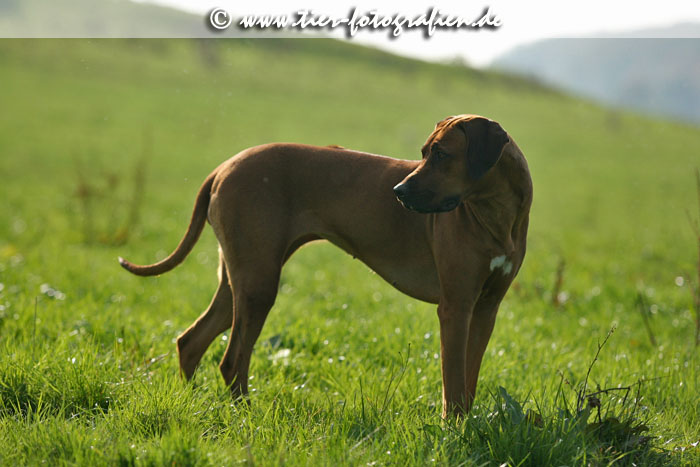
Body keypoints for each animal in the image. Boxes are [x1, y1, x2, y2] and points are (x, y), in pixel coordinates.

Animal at [119, 115, 532, 418]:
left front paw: (467, 425)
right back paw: (247, 416)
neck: (494, 215)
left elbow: (468, 379)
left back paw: (191, 404)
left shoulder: (485, 309)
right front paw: (454, 429)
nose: (398, 192)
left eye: (443, 154)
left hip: (240, 280)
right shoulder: (455, 308)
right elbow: (454, 382)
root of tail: (223, 167)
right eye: (424, 153)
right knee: (232, 360)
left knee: (192, 341)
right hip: (258, 284)